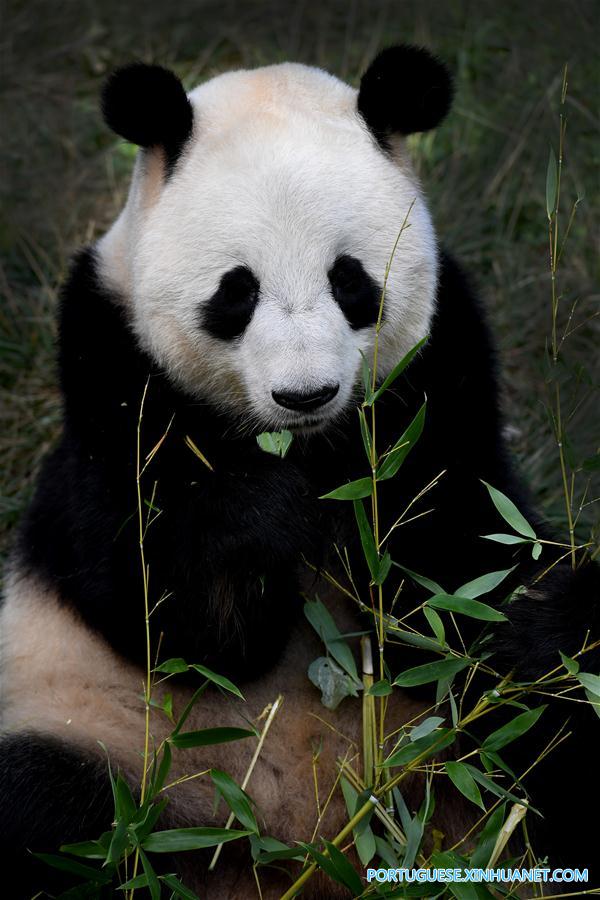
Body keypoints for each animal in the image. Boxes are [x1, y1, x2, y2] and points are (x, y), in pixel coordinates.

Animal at [1, 45, 598, 898]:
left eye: (350, 280)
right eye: (236, 291)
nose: (306, 394)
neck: (314, 450)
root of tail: (314, 851)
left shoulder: (439, 386)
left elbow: (460, 565)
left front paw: (542, 621)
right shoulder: (112, 383)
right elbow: (164, 609)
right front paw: (264, 516)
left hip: (462, 767)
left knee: (557, 734)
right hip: (105, 740)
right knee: (49, 809)